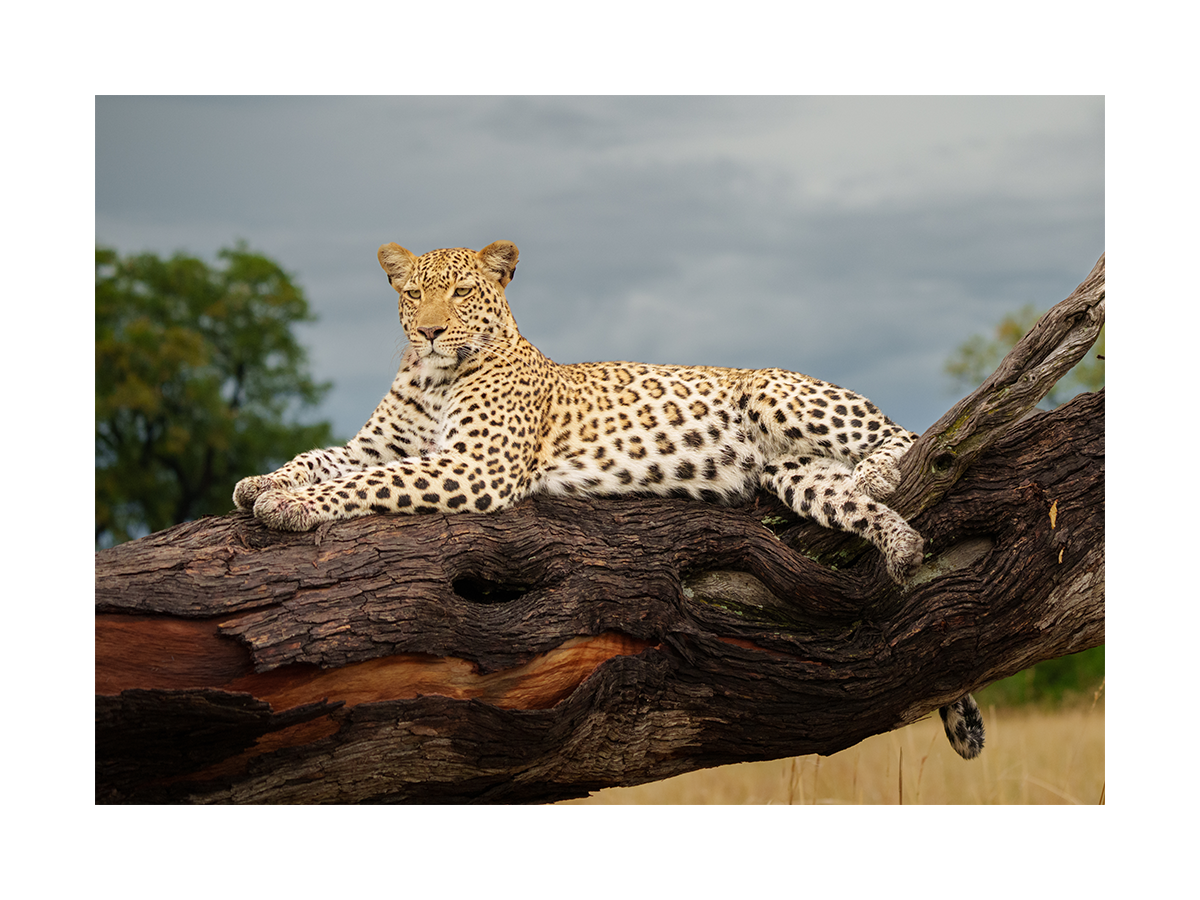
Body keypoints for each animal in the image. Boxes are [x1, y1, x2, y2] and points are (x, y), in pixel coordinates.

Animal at [231, 240, 984, 763]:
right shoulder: (382, 445)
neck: (432, 378)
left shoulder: (476, 467)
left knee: (907, 438)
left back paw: (882, 473)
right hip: (795, 475)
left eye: (463, 291)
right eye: (414, 294)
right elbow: (325, 458)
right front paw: (263, 482)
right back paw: (899, 542)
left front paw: (294, 506)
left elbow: (363, 483)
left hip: (778, 394)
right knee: (854, 495)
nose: (432, 332)